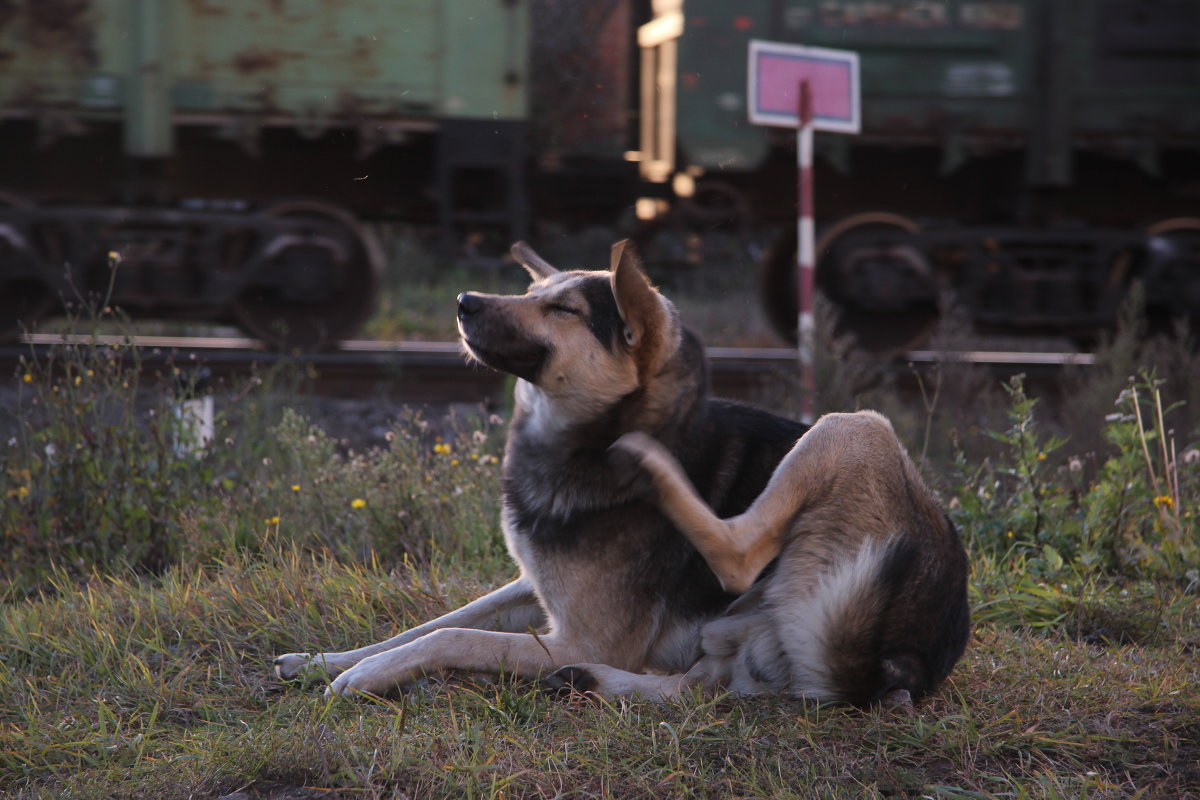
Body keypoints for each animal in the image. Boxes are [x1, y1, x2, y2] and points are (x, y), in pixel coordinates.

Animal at [276, 239, 969, 705]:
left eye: (563, 310)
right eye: (533, 295)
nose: (463, 300)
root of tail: (903, 660)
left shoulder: (580, 635)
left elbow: (454, 639)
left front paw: (362, 676)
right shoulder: (535, 590)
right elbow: (431, 623)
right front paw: (323, 659)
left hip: (855, 427)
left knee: (737, 558)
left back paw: (652, 466)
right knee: (697, 690)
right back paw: (591, 684)